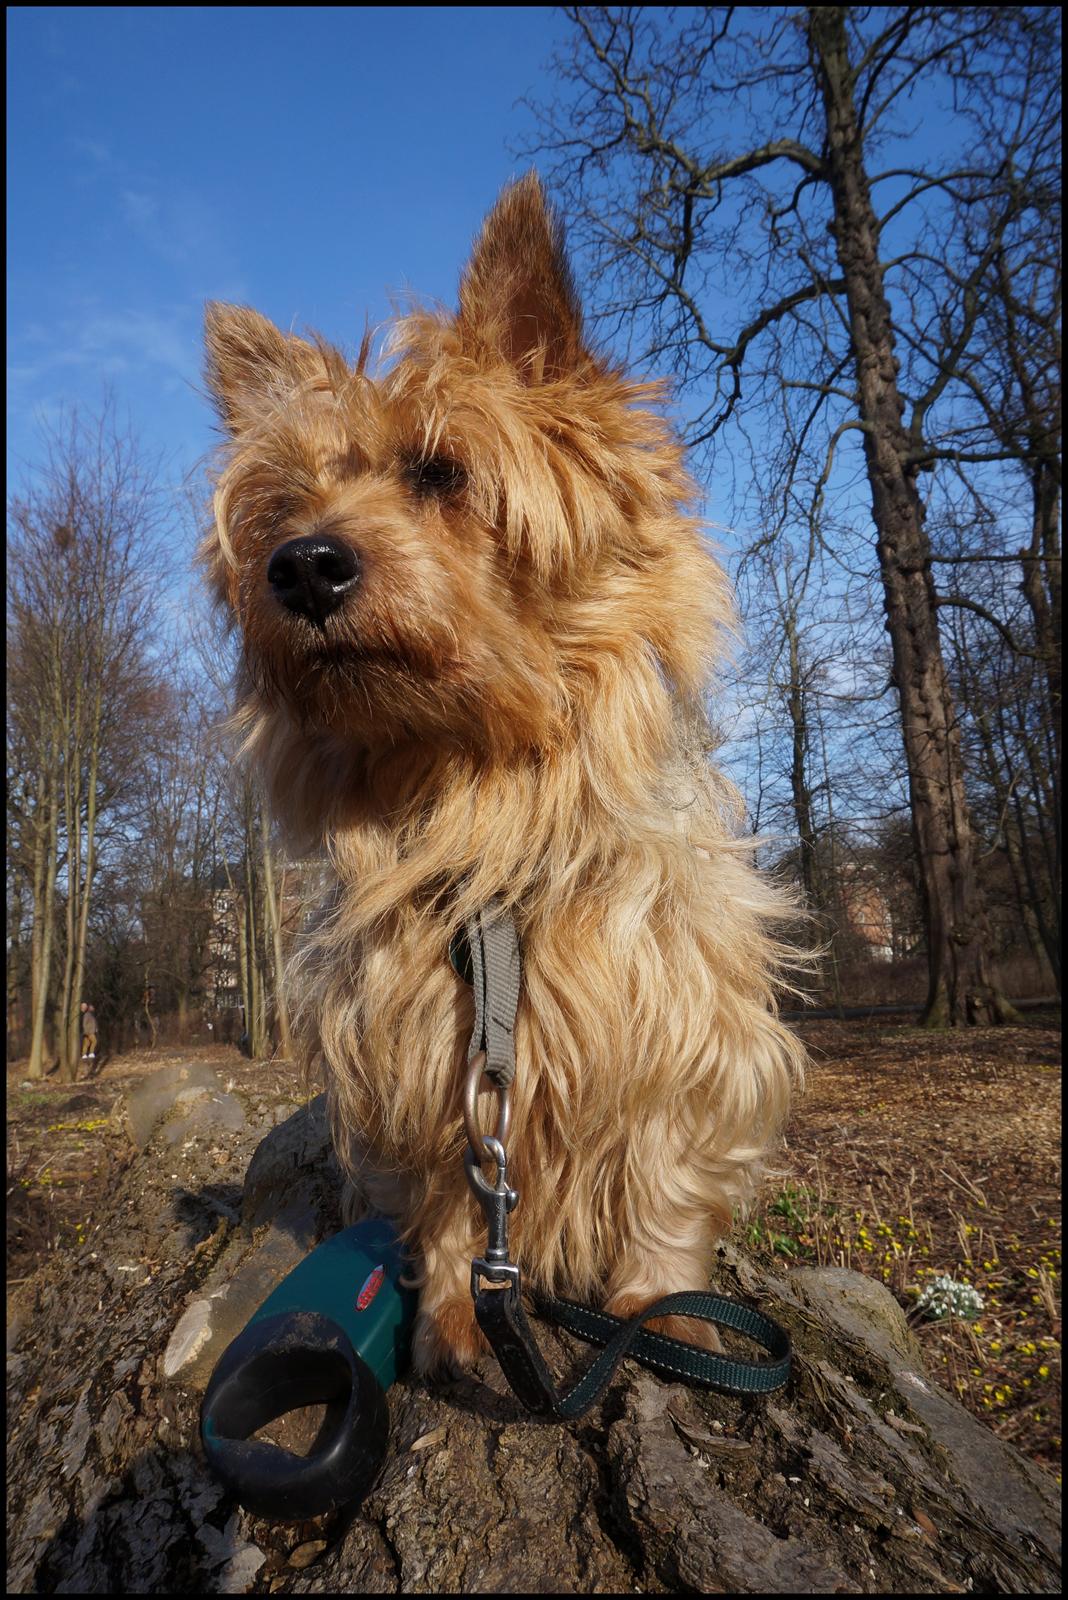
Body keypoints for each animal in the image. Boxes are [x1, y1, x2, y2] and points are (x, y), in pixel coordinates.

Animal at [202, 175, 799, 1376]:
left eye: (442, 472)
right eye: (284, 508)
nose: (301, 565)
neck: (480, 797)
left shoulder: (686, 1019)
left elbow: (664, 1167)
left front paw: (656, 1306)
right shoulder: (420, 1056)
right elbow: (451, 1193)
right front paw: (452, 1314)